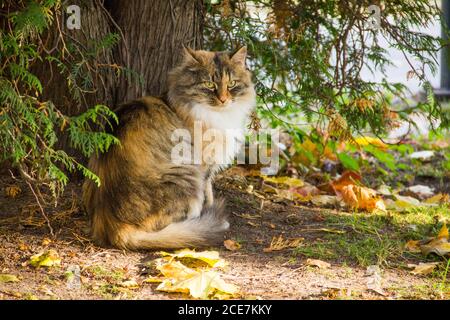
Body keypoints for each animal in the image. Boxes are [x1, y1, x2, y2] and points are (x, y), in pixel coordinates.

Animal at [81, 45, 256, 250]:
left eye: (232, 84)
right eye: (209, 85)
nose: (223, 99)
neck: (217, 115)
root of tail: (113, 227)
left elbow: (210, 192)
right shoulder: (204, 165)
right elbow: (208, 194)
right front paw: (210, 214)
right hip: (187, 175)